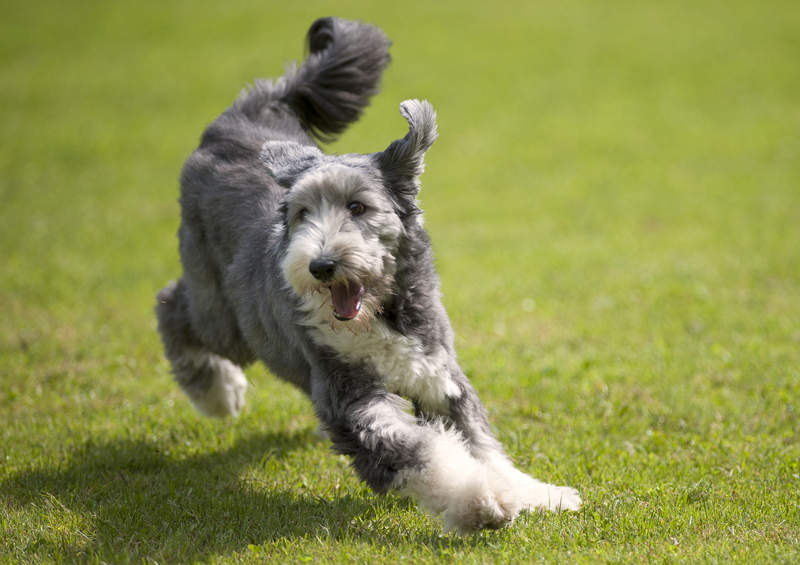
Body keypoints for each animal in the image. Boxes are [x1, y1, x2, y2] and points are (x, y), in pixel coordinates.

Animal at [158, 15, 580, 532]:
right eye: (302, 213)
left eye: (358, 207)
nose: (321, 265)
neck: (379, 315)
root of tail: (246, 113)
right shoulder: (353, 401)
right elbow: (422, 453)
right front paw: (482, 500)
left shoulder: (438, 377)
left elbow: (482, 444)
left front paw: (538, 494)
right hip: (227, 315)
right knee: (172, 304)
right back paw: (218, 392)